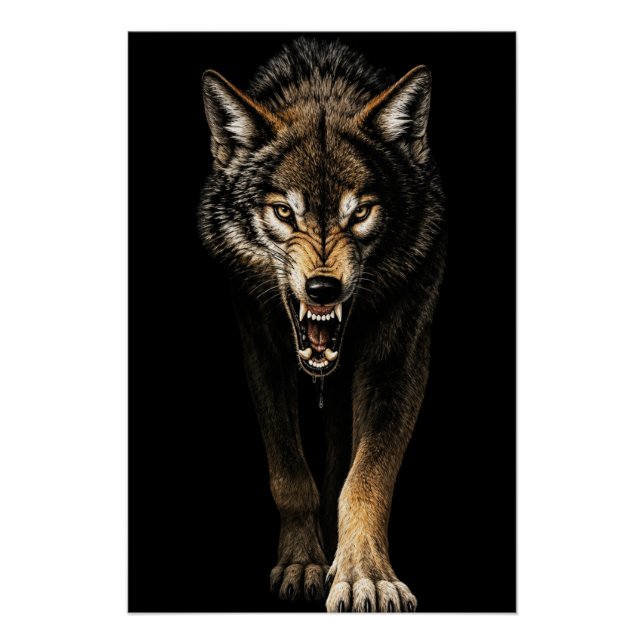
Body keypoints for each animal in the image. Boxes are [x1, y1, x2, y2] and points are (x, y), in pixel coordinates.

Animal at [198, 38, 446, 612]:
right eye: (284, 213)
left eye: (360, 213)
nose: (322, 290)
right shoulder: (260, 346)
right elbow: (290, 475)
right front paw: (302, 564)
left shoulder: (399, 358)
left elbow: (365, 479)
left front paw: (364, 576)